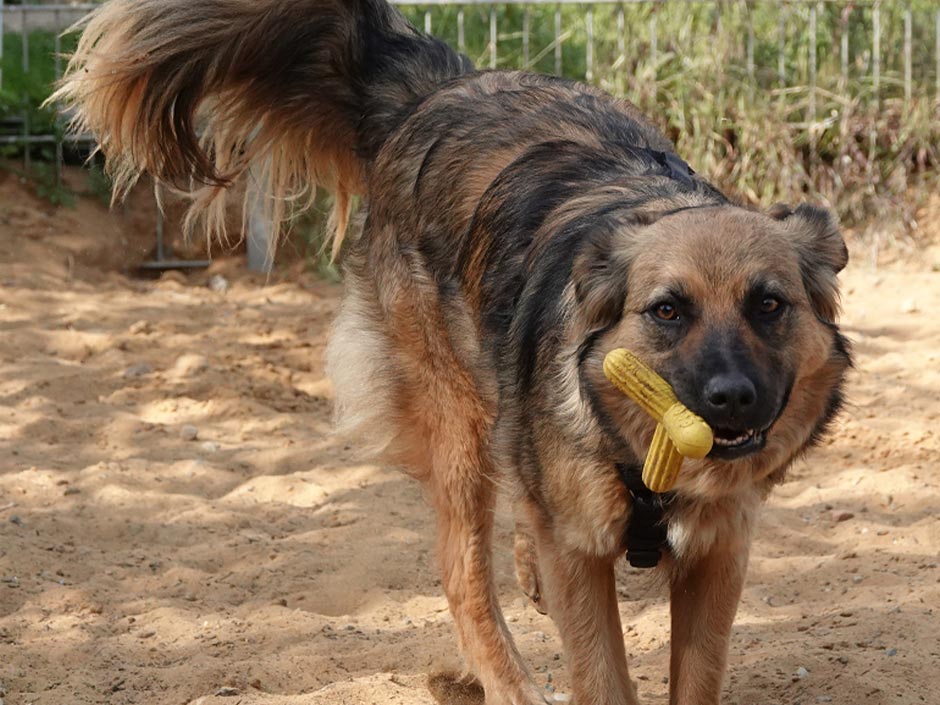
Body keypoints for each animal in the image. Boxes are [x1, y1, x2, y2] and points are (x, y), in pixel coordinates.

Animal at [57, 2, 852, 700]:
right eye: (666, 311)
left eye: (769, 304)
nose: (731, 398)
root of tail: (432, 90)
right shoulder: (588, 557)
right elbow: (600, 673)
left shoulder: (718, 556)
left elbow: (694, 675)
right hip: (457, 426)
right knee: (463, 574)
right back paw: (508, 680)